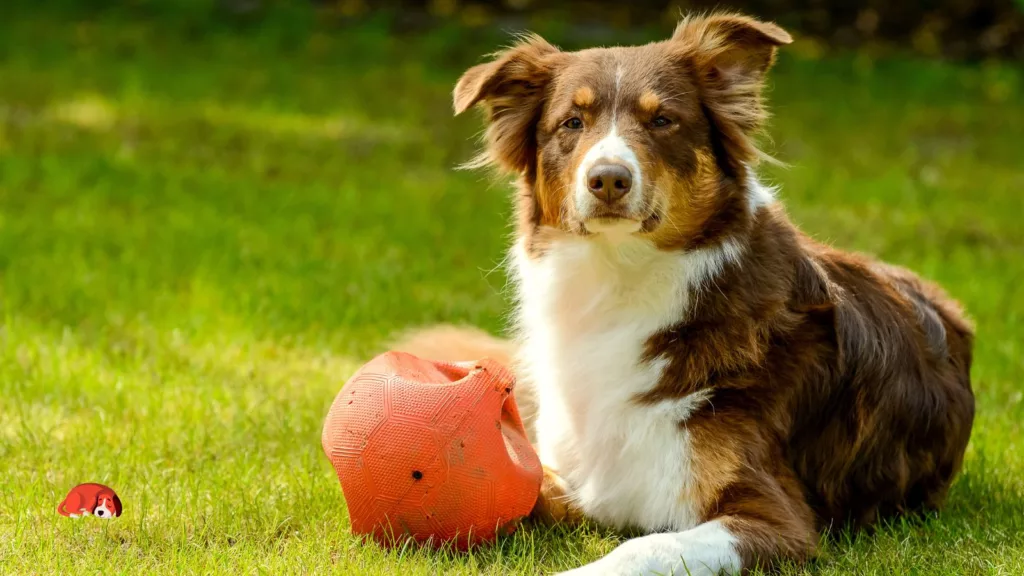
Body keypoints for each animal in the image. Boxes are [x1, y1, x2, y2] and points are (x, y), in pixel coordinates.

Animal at [393, 11, 974, 569]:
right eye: (572, 123)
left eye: (662, 120)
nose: (608, 179)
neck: (619, 279)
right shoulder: (575, 478)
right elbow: (526, 489)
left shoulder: (777, 518)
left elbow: (645, 546)